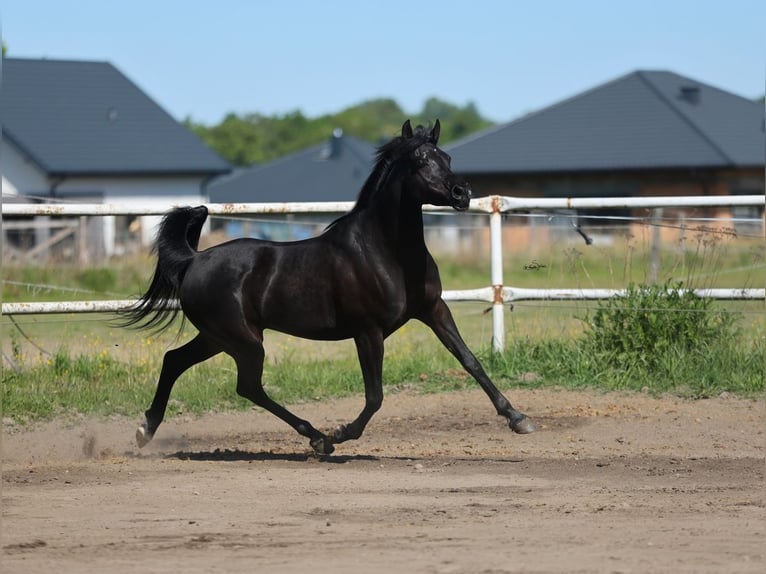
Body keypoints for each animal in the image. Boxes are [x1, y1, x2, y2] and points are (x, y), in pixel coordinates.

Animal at [120, 119, 536, 455]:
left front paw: (519, 418)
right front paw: (339, 434)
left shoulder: (434, 310)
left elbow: (470, 361)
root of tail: (194, 260)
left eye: (446, 156)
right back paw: (318, 438)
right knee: (247, 386)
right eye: (420, 160)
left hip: (218, 337)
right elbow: (375, 396)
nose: (461, 193)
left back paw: (145, 430)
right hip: (243, 340)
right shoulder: (368, 331)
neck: (386, 252)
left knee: (175, 361)